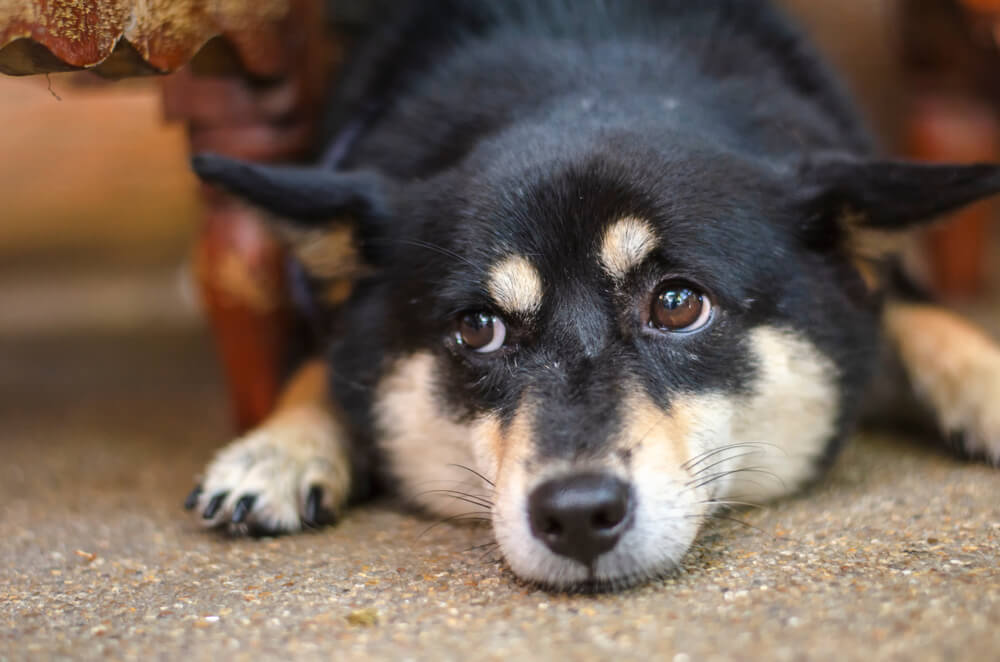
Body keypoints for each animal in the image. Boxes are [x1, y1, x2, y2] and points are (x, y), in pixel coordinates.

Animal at [184, 0, 1000, 592]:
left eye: (677, 304)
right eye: (477, 327)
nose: (578, 517)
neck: (585, 68)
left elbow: (923, 313)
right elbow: (319, 363)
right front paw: (279, 446)